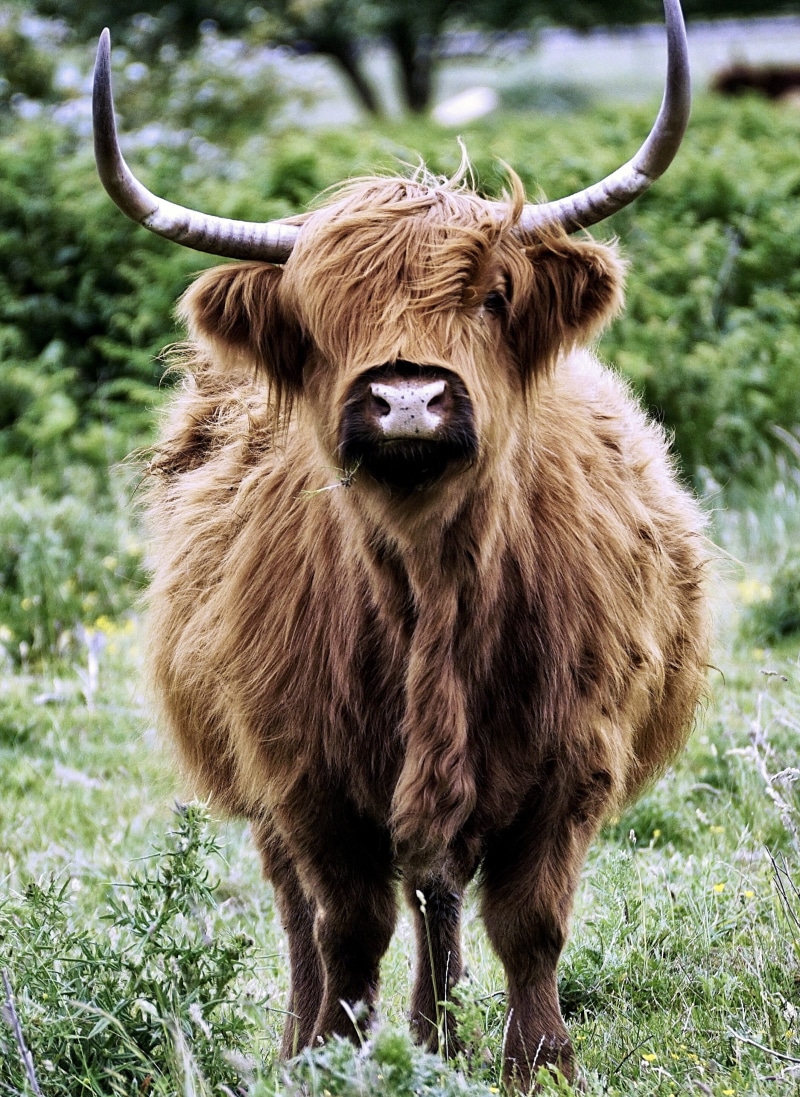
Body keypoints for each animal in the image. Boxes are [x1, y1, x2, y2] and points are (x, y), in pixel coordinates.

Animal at [93, 0, 710, 1089]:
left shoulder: (573, 761)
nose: (409, 398)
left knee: (439, 890)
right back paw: (323, 1038)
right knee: (312, 908)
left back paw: (437, 1032)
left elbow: (528, 921)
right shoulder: (304, 775)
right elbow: (345, 923)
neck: (432, 585)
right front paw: (338, 1053)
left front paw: (535, 1060)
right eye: (320, 314)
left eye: (493, 296)